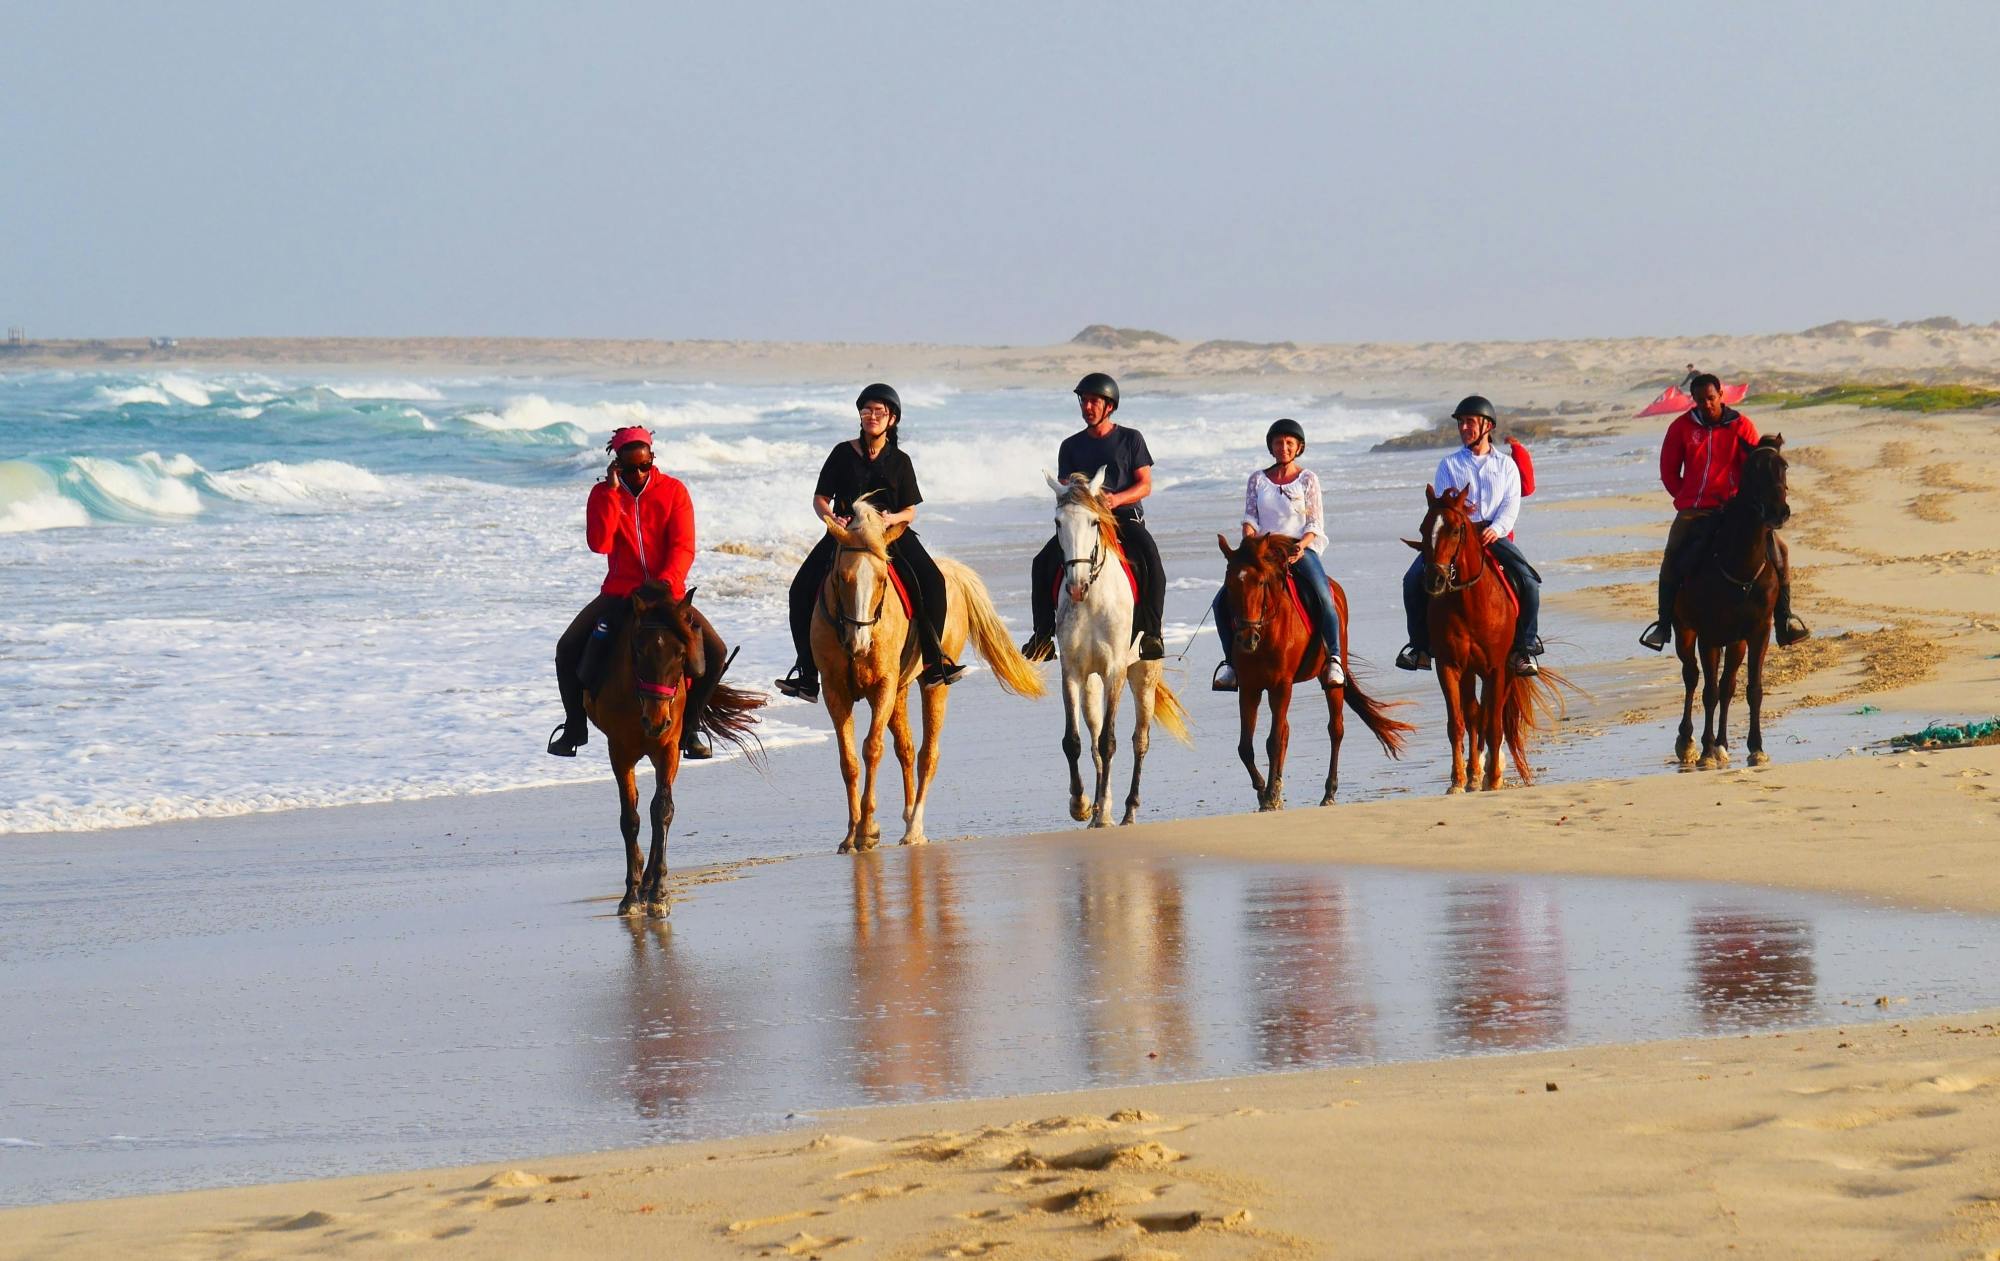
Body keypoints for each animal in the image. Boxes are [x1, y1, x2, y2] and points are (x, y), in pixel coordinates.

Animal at [584, 584, 764, 920]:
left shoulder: (668, 749)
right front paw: (631, 895)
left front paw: (658, 893)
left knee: (658, 807)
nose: (656, 721)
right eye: (638, 651)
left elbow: (662, 810)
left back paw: (650, 881)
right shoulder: (619, 751)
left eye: (681, 654)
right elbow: (630, 817)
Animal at [1048, 472, 1184, 828]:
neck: (1093, 599)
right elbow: (1074, 742)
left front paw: (1100, 812)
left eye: (1094, 521)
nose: (1076, 585)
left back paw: (1127, 810)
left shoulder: (1115, 672)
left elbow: (1110, 742)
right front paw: (1081, 805)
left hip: (1143, 675)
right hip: (1091, 686)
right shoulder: (1072, 673)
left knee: (1140, 740)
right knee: (1094, 736)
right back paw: (1099, 808)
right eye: (1058, 522)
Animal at [1208, 532, 1416, 808]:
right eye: (1229, 584)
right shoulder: (1250, 687)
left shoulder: (1281, 685)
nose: (1246, 639)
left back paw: (1329, 793)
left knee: (1335, 730)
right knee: (1284, 732)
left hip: (1329, 680)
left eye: (1261, 582)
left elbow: (1273, 741)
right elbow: (1246, 746)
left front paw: (1270, 795)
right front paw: (1265, 791)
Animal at [1400, 488, 1568, 796]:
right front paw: (1458, 780)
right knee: (1475, 714)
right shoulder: (1449, 667)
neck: (1469, 603)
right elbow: (1457, 723)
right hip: (1469, 672)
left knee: (1494, 714)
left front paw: (1494, 778)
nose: (1435, 580)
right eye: (1423, 528)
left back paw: (1490, 767)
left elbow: (1493, 723)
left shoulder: (1497, 669)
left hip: (1508, 671)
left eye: (1456, 530)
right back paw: (1474, 772)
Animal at [1672, 434, 1800, 772]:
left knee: (1728, 685)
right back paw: (1688, 743)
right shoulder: (1708, 634)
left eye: (1783, 466)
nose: (1778, 512)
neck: (1741, 565)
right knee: (1692, 677)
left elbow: (1751, 689)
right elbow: (1709, 691)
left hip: (1736, 641)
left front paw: (1756, 748)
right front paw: (1705, 751)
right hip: (1685, 632)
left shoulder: (1758, 631)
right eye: (1752, 469)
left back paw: (1722, 745)